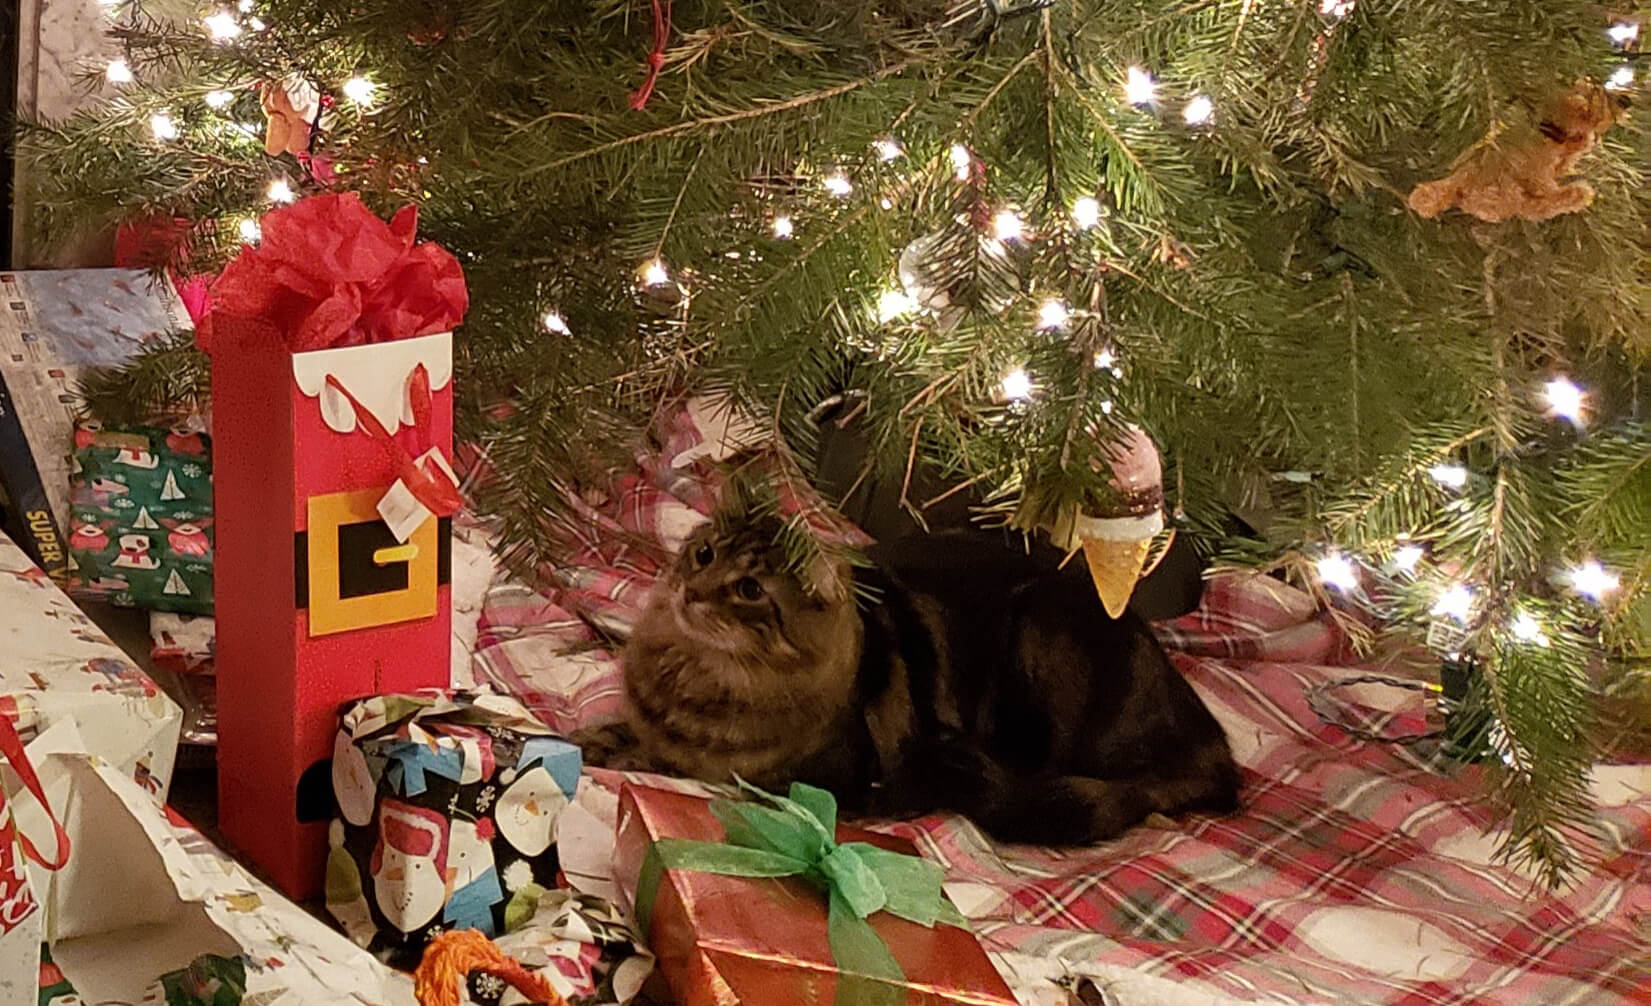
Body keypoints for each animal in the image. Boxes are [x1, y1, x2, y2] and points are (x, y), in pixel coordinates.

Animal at [581, 515, 1241, 842]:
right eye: (702, 554)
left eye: (748, 590)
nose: (690, 592)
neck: (691, 674)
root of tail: (1212, 744)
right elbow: (615, 734)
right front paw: (597, 742)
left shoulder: (818, 772)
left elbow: (689, 767)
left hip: (1040, 634)